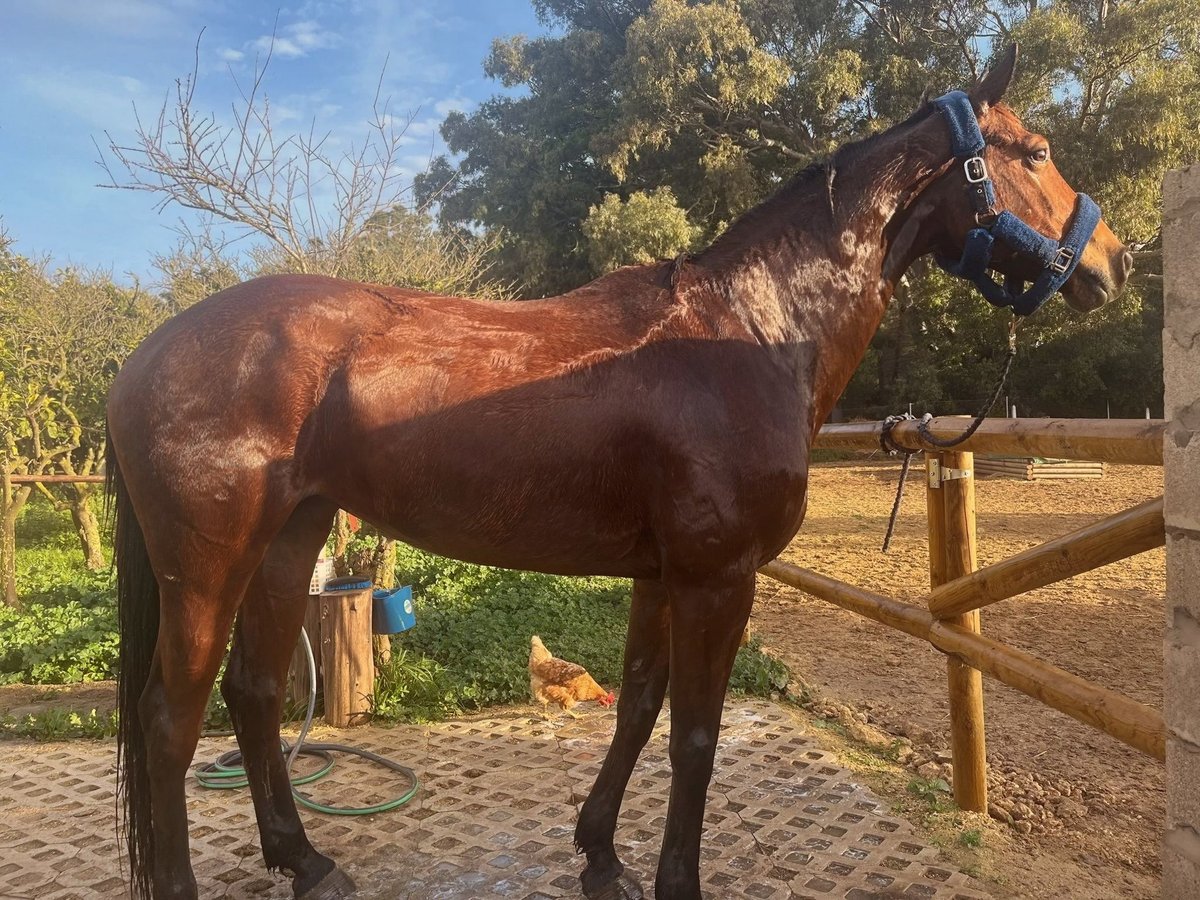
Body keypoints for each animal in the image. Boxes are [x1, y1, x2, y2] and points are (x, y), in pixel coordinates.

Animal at [108, 47, 1128, 900]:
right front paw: (676, 880)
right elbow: (696, 737)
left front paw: (600, 852)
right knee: (168, 720)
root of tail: (145, 356)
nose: (1113, 263)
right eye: (1035, 152)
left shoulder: (659, 576)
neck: (749, 332)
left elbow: (637, 706)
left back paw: (306, 860)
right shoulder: (717, 578)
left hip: (291, 539)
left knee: (254, 693)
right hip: (207, 567)